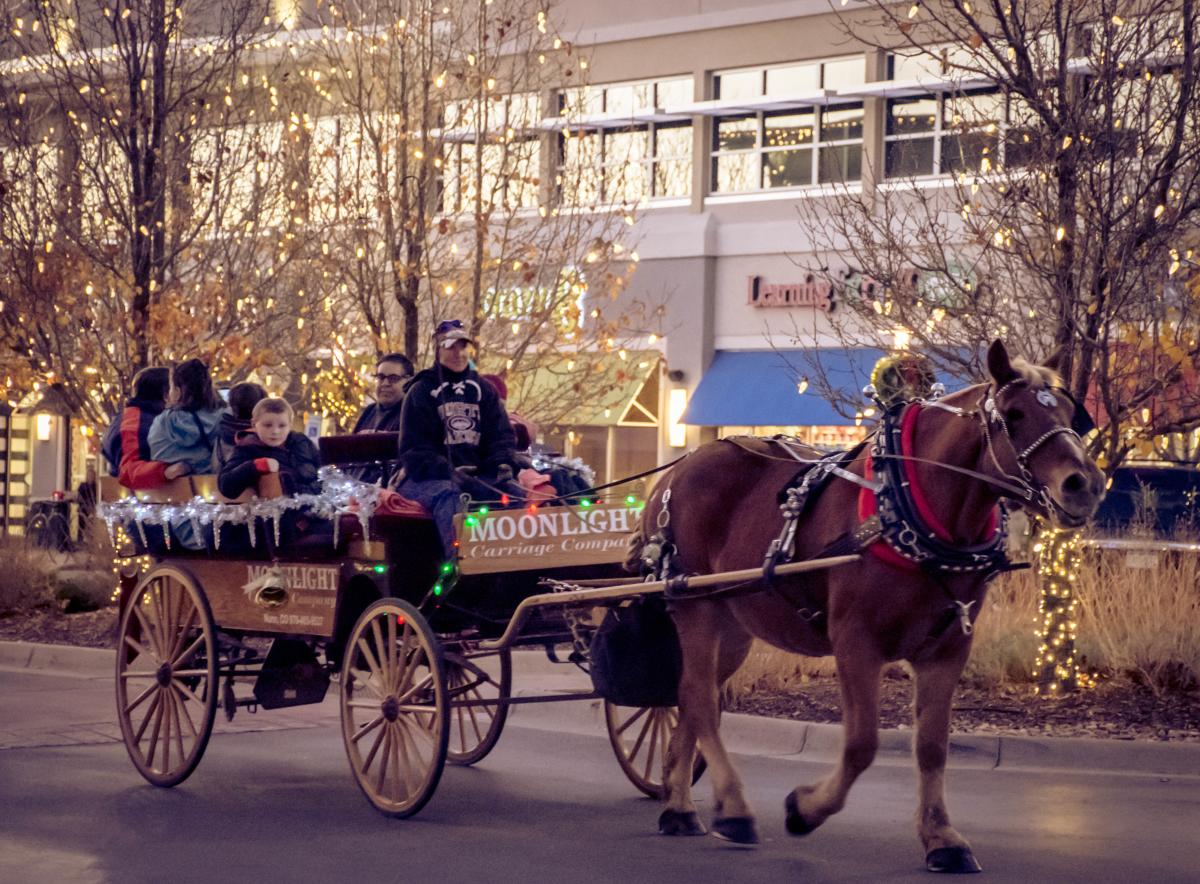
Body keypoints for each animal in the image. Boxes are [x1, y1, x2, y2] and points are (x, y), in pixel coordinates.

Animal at [628, 340, 1104, 873]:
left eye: (1068, 411)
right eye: (1014, 414)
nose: (1085, 484)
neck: (914, 510)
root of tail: (676, 471)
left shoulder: (948, 648)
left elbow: (932, 747)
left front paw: (942, 838)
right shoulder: (856, 641)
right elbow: (861, 744)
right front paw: (805, 810)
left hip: (732, 623)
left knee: (691, 697)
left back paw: (678, 806)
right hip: (694, 606)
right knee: (699, 699)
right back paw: (732, 809)